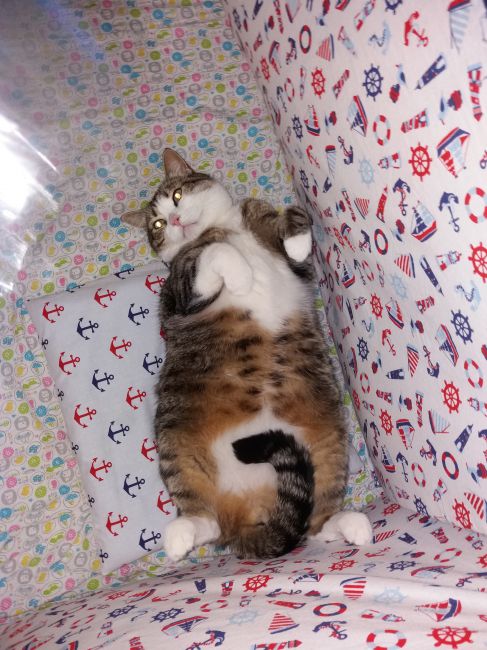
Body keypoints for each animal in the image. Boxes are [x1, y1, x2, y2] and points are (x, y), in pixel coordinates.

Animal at [122, 148, 372, 560]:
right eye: (156, 225)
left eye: (177, 196)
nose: (173, 220)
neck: (222, 226)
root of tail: (251, 512)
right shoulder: (182, 290)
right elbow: (216, 252)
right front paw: (239, 275)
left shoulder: (287, 253)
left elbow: (292, 216)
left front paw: (297, 240)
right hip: (176, 445)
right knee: (206, 522)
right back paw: (180, 537)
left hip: (330, 444)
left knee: (315, 522)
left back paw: (352, 524)